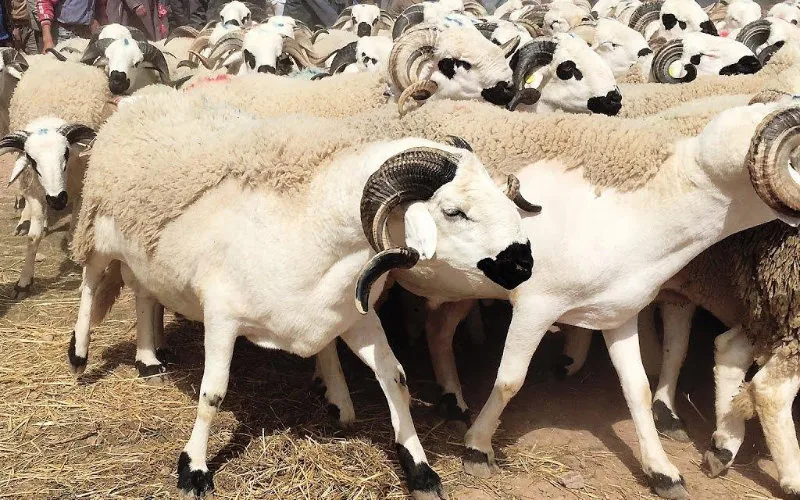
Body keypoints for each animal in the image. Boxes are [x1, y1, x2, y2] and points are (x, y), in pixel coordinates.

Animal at [67, 90, 537, 499]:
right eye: (453, 212)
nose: (525, 262)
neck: (310, 228)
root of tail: (143, 96)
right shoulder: (221, 315)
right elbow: (212, 393)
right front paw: (194, 469)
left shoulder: (357, 316)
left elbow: (396, 378)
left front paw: (420, 469)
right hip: (98, 233)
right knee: (90, 285)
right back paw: (80, 354)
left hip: (145, 252)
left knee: (144, 292)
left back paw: (149, 360)